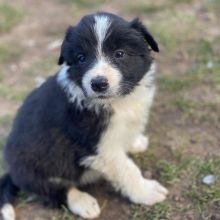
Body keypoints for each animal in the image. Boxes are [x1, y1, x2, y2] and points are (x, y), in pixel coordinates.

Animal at [0, 12, 168, 220]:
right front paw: (146, 191)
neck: (117, 101)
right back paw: (82, 202)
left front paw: (134, 142)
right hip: (34, 166)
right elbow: (127, 169)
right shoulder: (99, 146)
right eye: (81, 58)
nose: (98, 83)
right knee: (55, 191)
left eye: (119, 54)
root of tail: (12, 171)